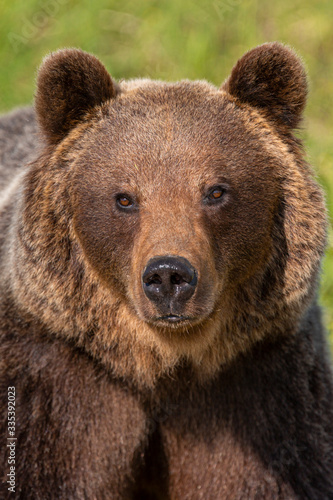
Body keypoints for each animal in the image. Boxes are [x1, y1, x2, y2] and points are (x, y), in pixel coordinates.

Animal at [0, 43, 332, 500]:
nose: (169, 276)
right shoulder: (55, 386)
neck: (162, 363)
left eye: (216, 191)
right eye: (124, 197)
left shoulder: (260, 384)